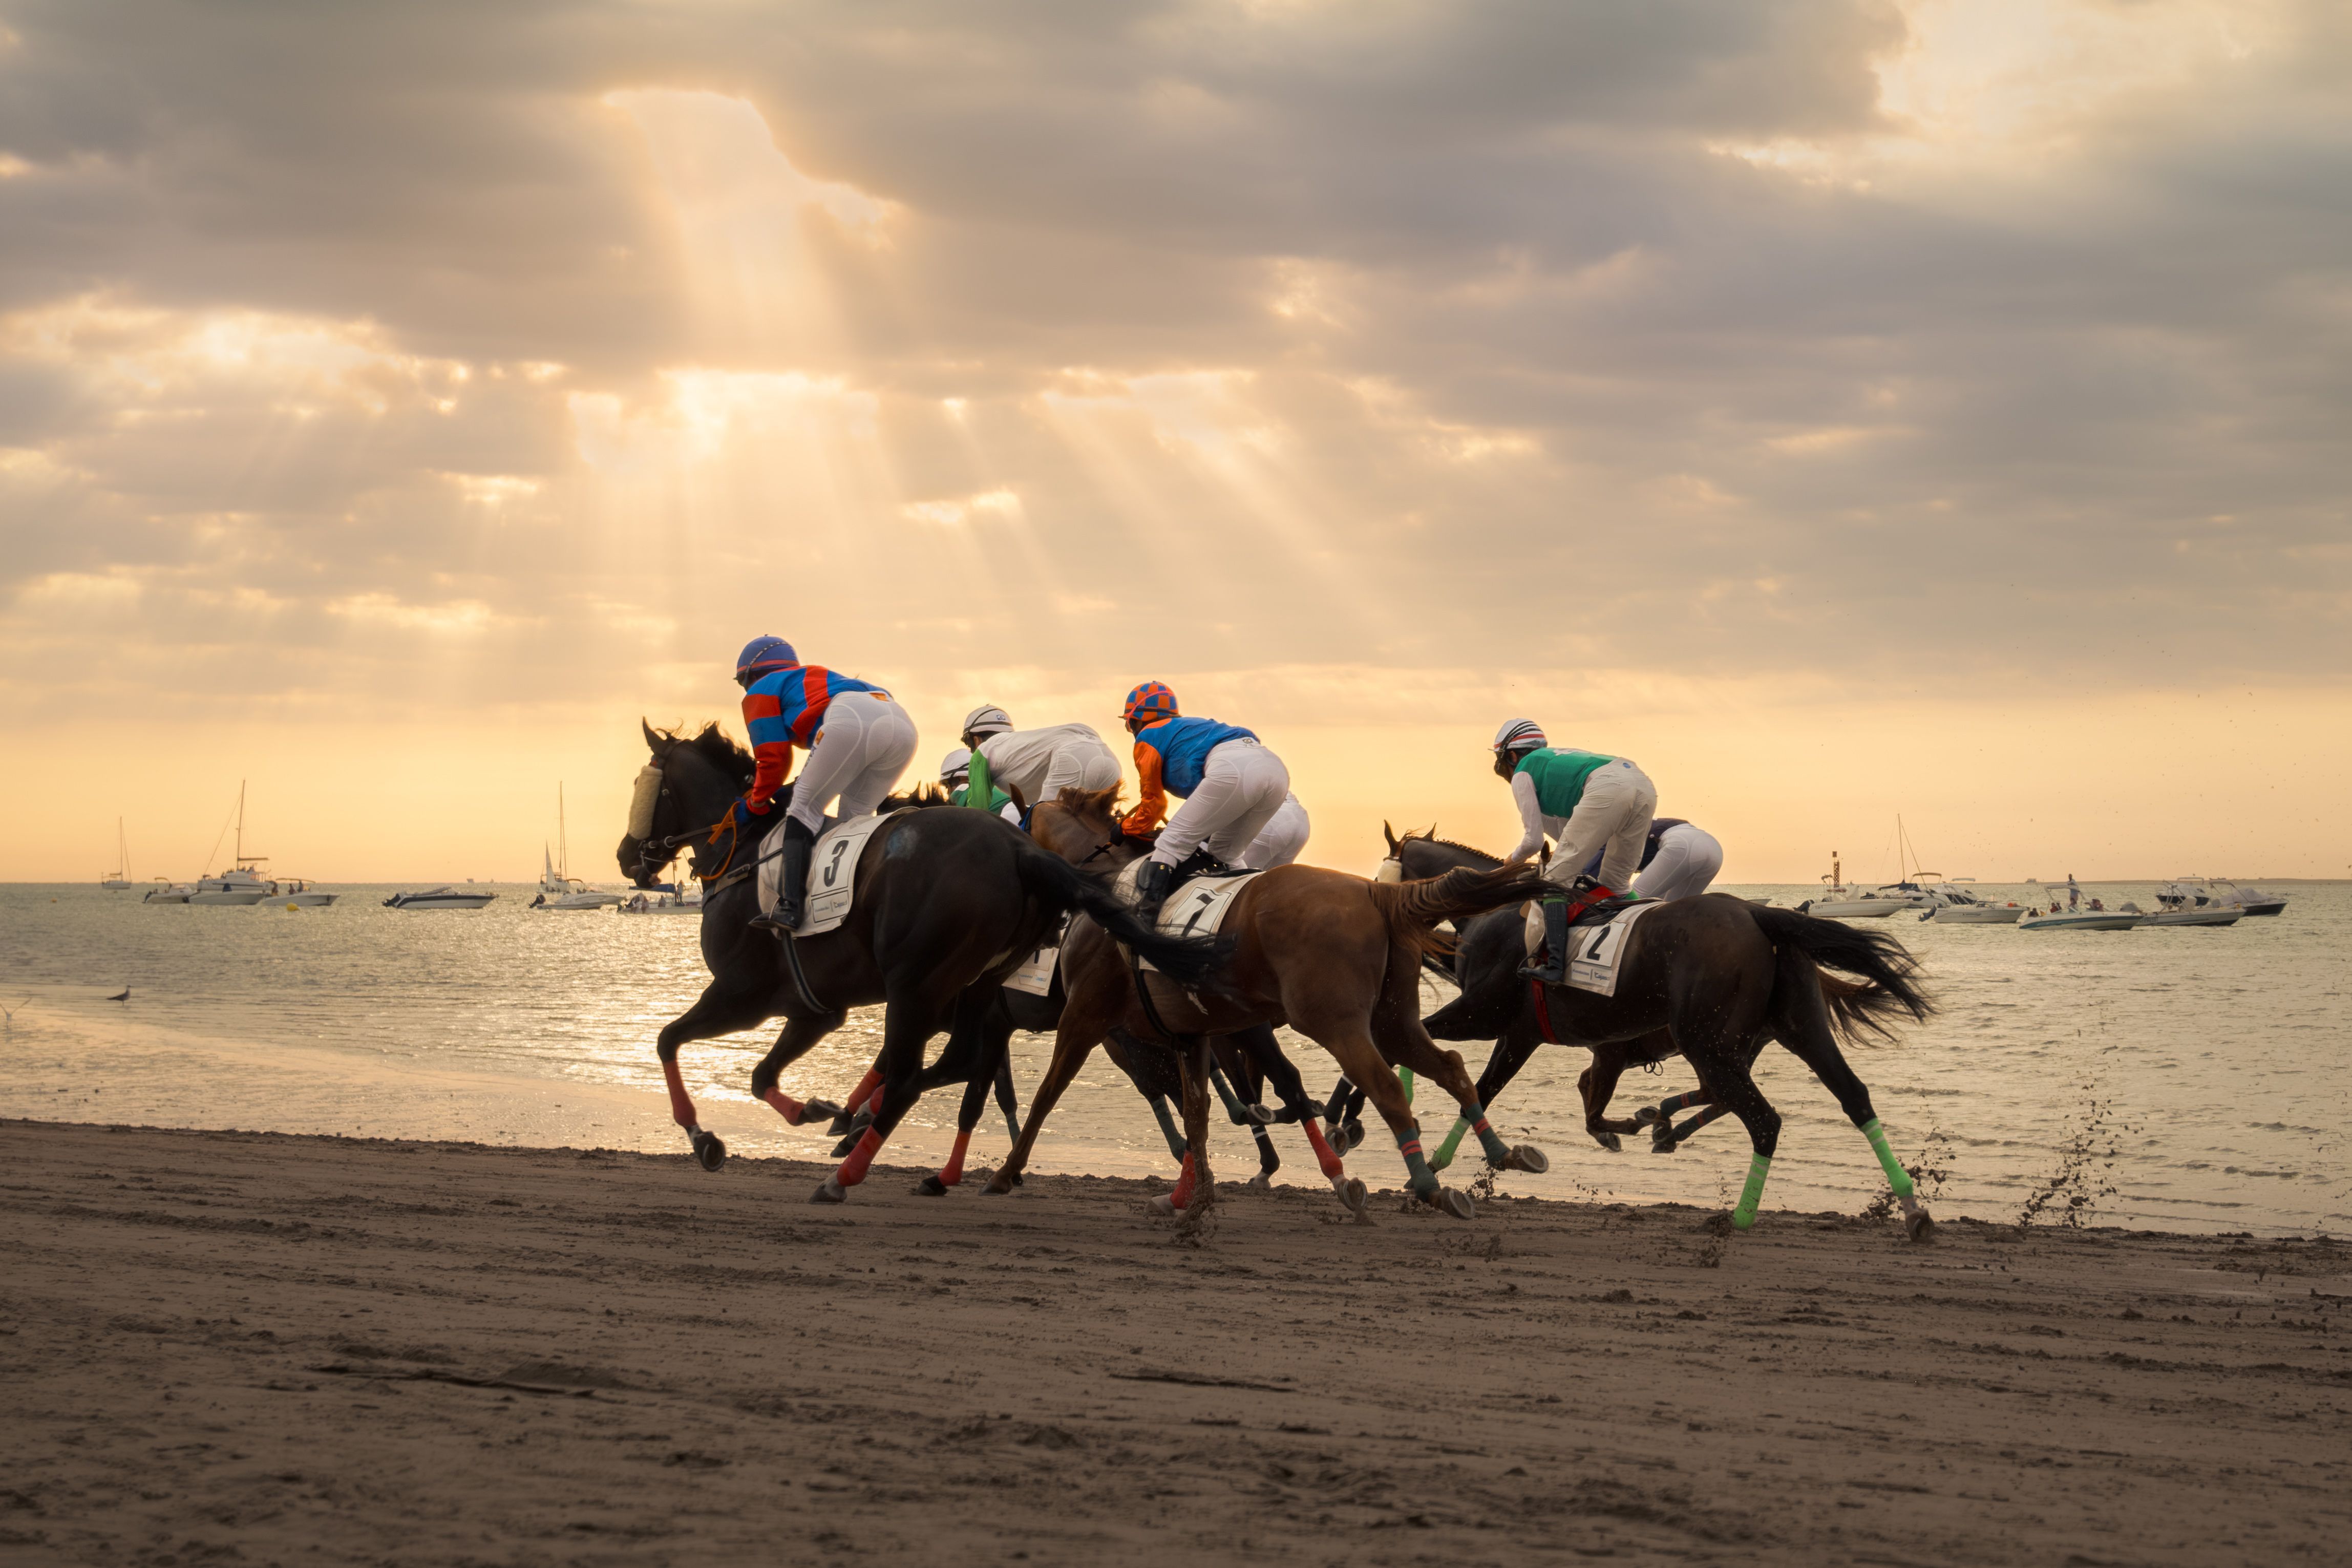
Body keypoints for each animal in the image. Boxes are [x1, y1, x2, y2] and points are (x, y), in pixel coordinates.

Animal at [606, 724, 1232, 1203]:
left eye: (644, 784)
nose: (625, 854)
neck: (745, 854)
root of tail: (1022, 852)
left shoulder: (742, 993)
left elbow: (667, 1040)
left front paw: (702, 1136)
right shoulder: (817, 1009)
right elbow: (763, 1076)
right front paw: (815, 1109)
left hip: (934, 990)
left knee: (919, 1076)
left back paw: (846, 1173)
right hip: (982, 991)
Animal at [983, 790, 1552, 1222]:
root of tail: (1376, 896)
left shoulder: (1088, 1017)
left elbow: (1048, 1093)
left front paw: (1007, 1173)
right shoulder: (1189, 1033)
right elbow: (1197, 1113)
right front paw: (1192, 1197)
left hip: (1333, 1020)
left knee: (1382, 1085)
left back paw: (1426, 1183)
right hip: (1392, 1020)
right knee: (1451, 1068)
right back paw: (1501, 1152)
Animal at [1373, 822, 1929, 1241]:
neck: (1499, 911)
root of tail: (1758, 913)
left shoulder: (1491, 1020)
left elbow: (1446, 1065)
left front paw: (1426, 1154)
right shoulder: (1566, 1044)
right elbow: (1551, 1096)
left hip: (1707, 1043)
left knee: (1762, 1119)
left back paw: (1736, 1215)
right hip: (1793, 1029)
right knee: (1851, 1096)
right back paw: (1911, 1209)